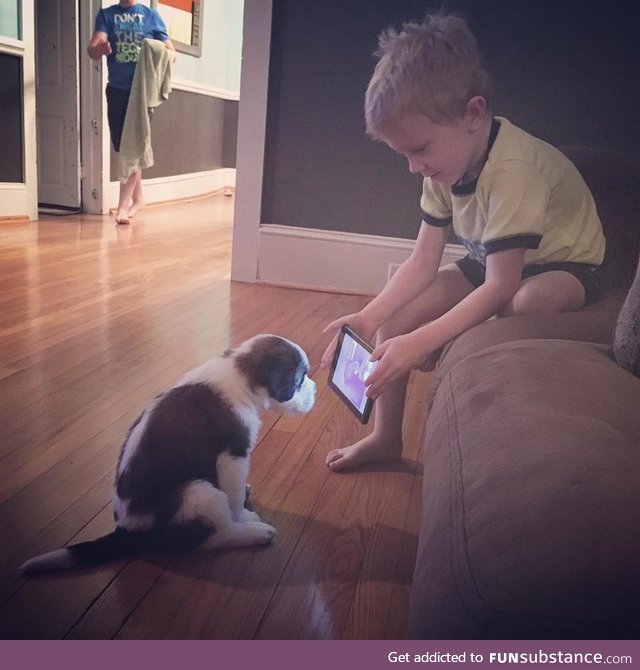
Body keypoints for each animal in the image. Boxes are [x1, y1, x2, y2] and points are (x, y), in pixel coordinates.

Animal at [21, 334, 316, 576]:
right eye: (299, 379)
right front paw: (243, 514)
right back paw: (254, 533)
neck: (238, 375)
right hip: (197, 492)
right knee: (215, 536)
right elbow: (233, 499)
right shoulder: (232, 457)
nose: (315, 390)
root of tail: (126, 533)